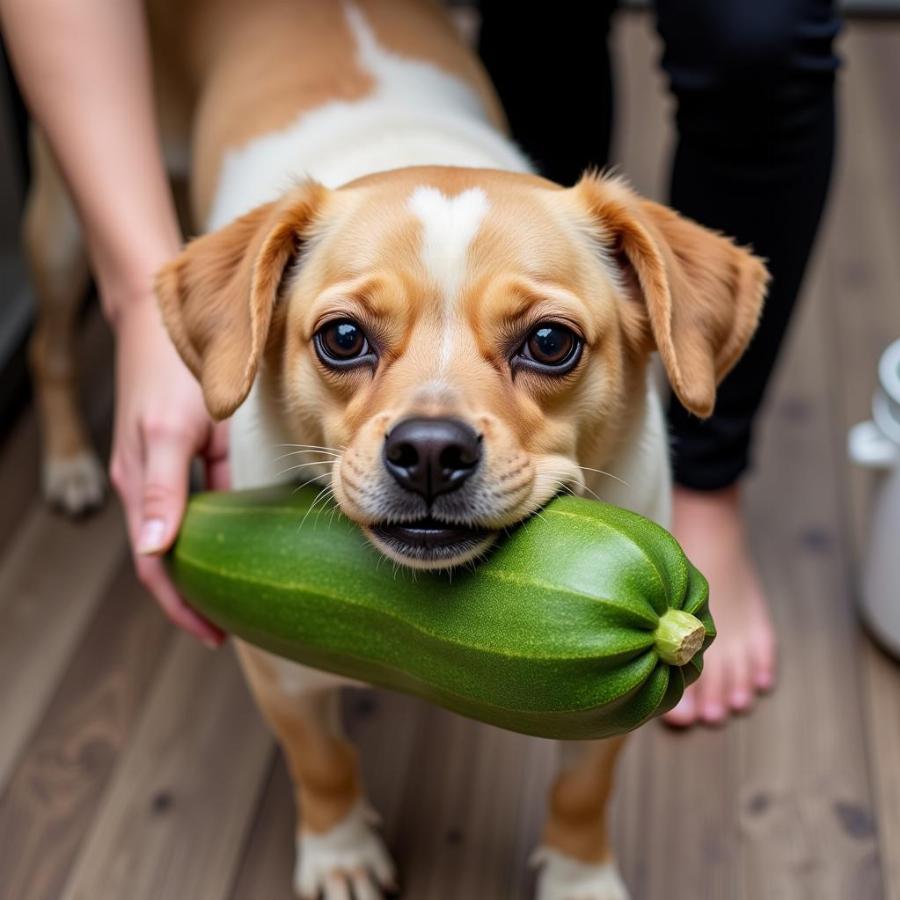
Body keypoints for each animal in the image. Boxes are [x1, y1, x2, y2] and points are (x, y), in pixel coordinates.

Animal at [26, 1, 768, 900]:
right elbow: (322, 764)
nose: (430, 451)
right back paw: (68, 461)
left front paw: (580, 875)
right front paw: (340, 851)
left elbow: (582, 792)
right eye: (342, 338)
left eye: (551, 343)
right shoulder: (281, 668)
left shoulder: (608, 708)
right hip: (64, 231)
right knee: (47, 348)